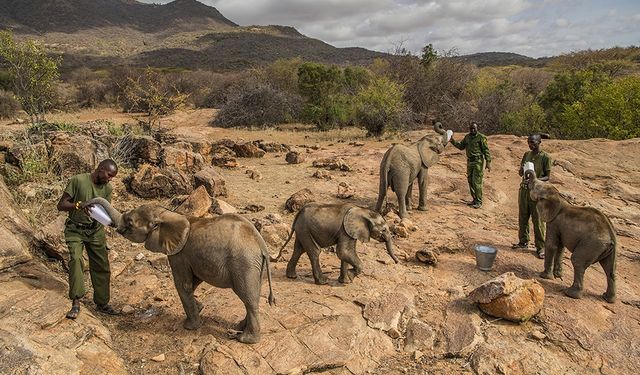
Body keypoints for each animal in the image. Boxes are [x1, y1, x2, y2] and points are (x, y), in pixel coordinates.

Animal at [272, 203, 400, 284]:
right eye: (384, 230)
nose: (397, 262)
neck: (363, 210)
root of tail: (298, 214)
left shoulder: (349, 231)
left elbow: (346, 253)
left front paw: (345, 281)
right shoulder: (345, 230)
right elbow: (343, 252)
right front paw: (350, 276)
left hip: (302, 230)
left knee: (299, 250)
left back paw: (292, 276)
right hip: (305, 229)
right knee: (314, 251)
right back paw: (322, 282)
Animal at [528, 172, 616, 304]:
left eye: (534, 186)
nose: (526, 178)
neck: (558, 196)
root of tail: (611, 236)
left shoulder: (554, 222)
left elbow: (552, 245)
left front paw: (544, 276)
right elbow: (560, 247)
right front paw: (557, 275)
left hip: (592, 244)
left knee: (577, 260)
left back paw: (570, 293)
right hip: (608, 249)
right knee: (610, 269)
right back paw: (607, 298)